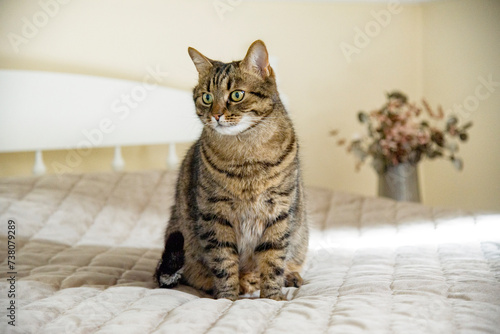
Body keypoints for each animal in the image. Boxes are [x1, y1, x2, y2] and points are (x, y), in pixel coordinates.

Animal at [154, 40, 306, 302]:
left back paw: (288, 277)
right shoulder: (215, 214)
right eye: (206, 97)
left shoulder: (279, 210)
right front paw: (228, 298)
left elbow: (273, 260)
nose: (216, 115)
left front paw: (273, 298)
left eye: (236, 95)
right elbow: (224, 262)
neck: (246, 153)